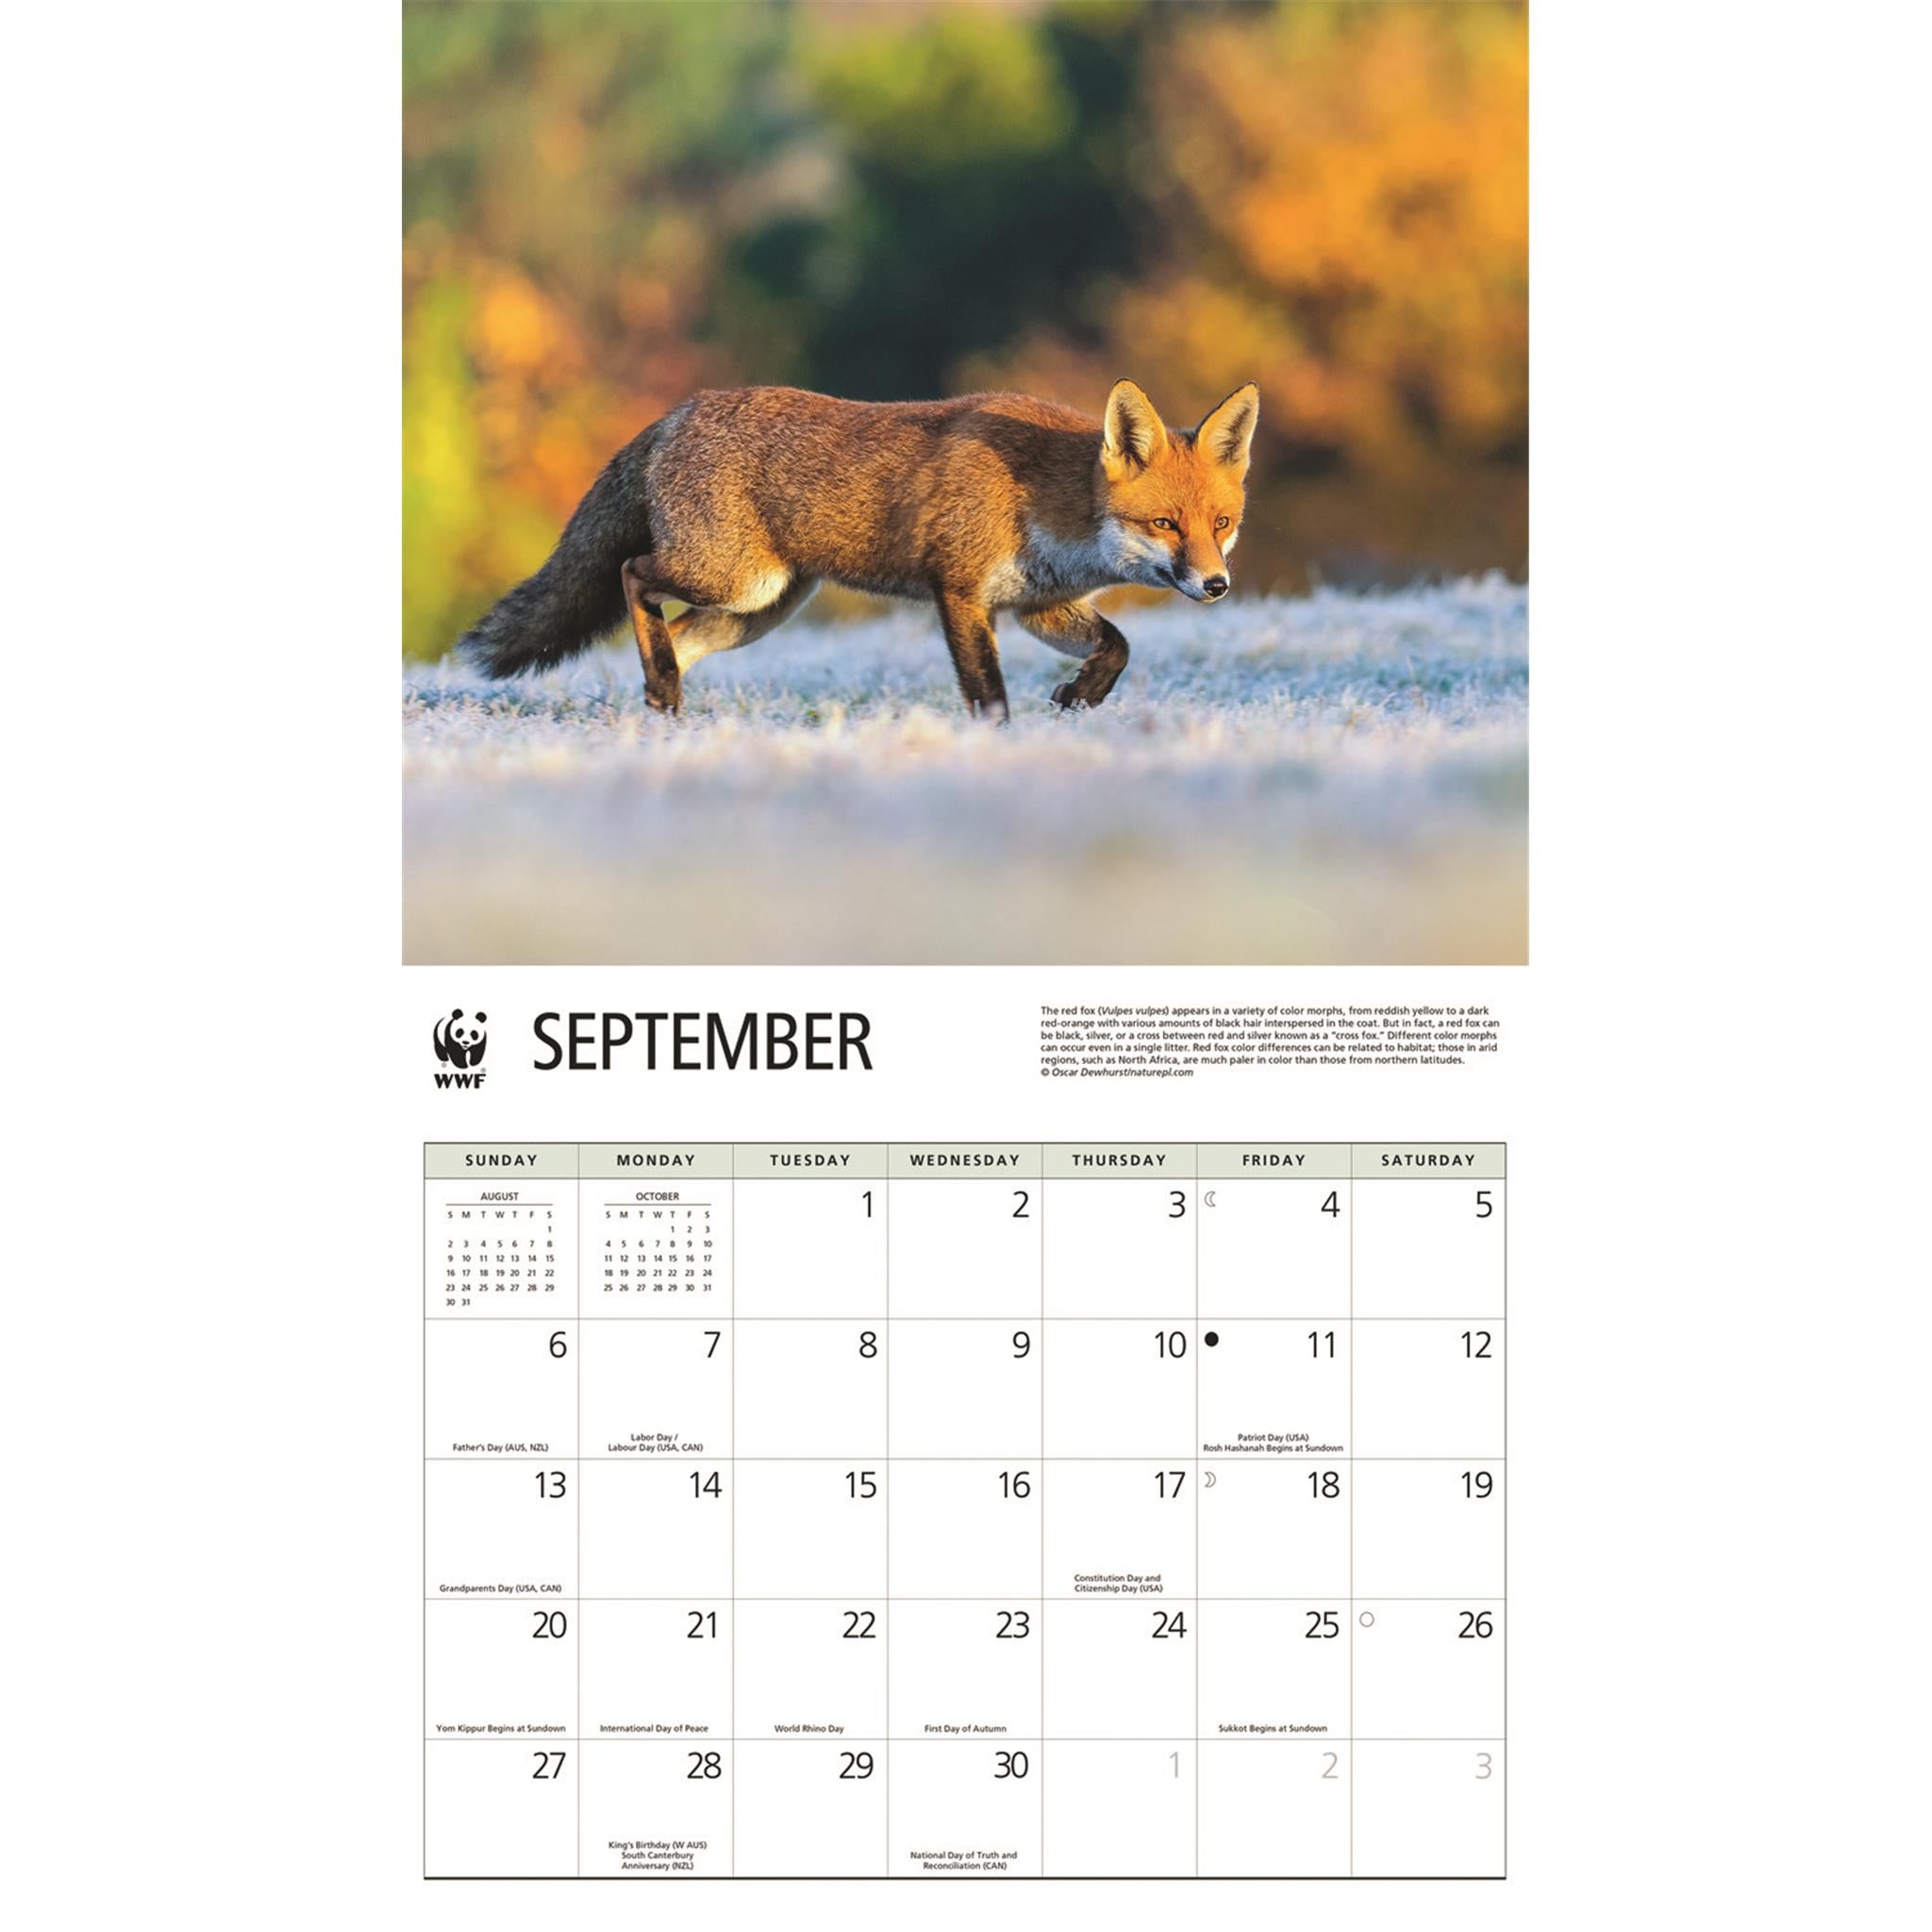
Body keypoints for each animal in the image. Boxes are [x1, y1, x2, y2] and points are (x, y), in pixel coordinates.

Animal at [458, 377, 1260, 720]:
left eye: (1220, 523)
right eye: (1167, 525)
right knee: (630, 574)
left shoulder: (1039, 604)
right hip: (732, 579)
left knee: (671, 642)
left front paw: (1083, 696)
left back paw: (663, 705)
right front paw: (998, 743)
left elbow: (1118, 646)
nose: (1217, 585)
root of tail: (681, 410)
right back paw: (662, 695)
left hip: (760, 609)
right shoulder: (959, 591)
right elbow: (988, 692)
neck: (1043, 496)